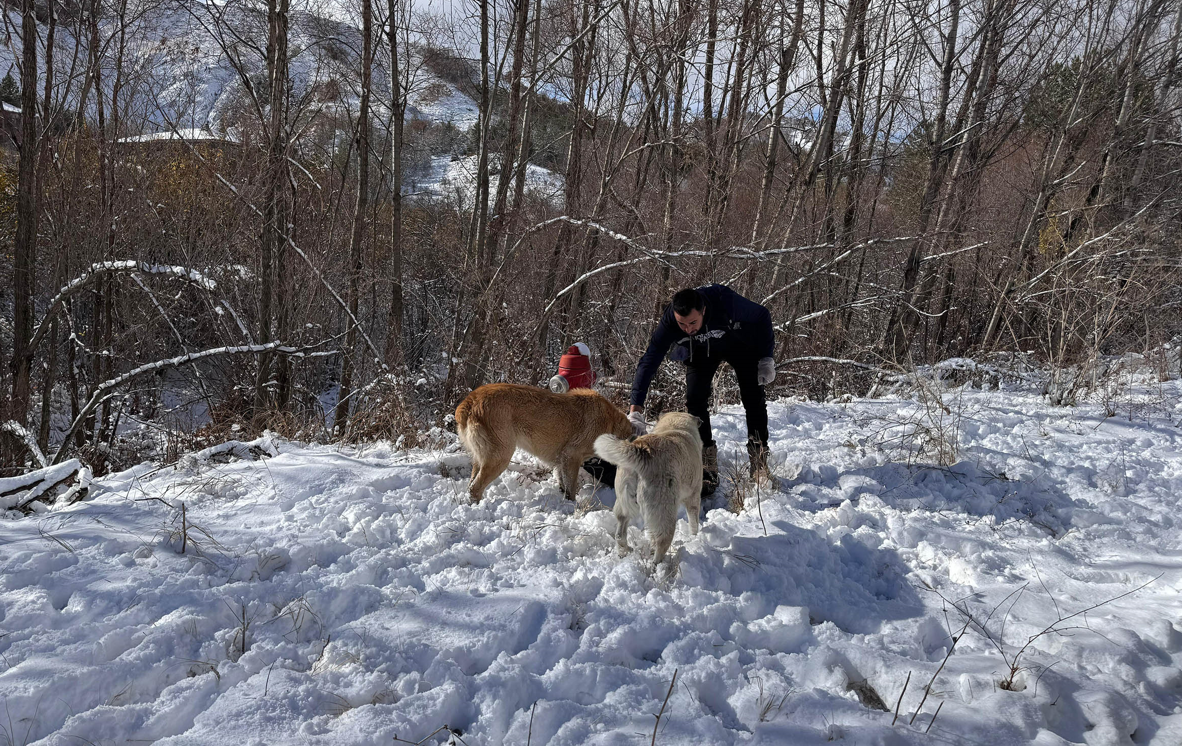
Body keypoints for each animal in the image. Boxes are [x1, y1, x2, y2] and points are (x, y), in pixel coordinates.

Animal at [453, 385, 638, 501]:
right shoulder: (571, 456)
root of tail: (471, 400)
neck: (611, 424)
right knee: (475, 489)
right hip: (500, 457)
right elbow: (571, 488)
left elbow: (564, 484)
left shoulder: (562, 460)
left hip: (482, 459)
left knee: (471, 485)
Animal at [591, 411, 699, 562]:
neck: (676, 425)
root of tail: (642, 451)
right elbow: (694, 523)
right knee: (661, 544)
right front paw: (695, 538)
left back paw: (625, 551)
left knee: (620, 534)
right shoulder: (694, 497)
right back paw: (658, 565)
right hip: (665, 513)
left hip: (623, 503)